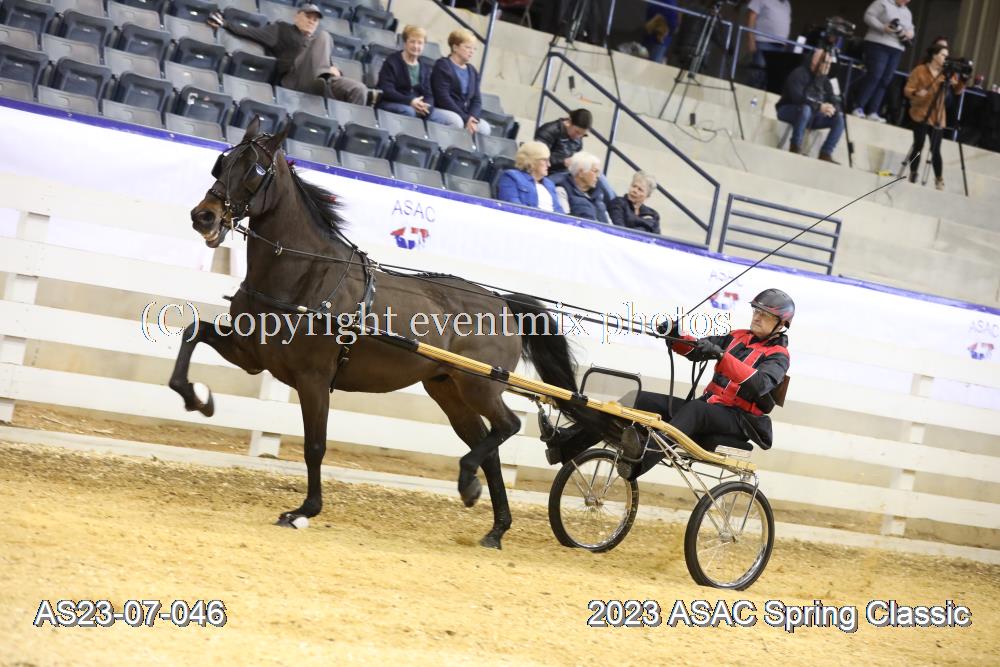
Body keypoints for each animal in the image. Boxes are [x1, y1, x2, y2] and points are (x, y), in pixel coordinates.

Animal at [170, 117, 604, 548]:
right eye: (222, 163)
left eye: (255, 171)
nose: (203, 216)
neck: (305, 274)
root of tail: (502, 303)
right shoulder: (252, 354)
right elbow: (192, 334)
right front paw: (199, 399)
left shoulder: (313, 378)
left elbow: (314, 446)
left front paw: (303, 511)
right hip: (448, 389)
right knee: (490, 442)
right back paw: (494, 526)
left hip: (478, 385)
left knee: (507, 427)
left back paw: (469, 482)